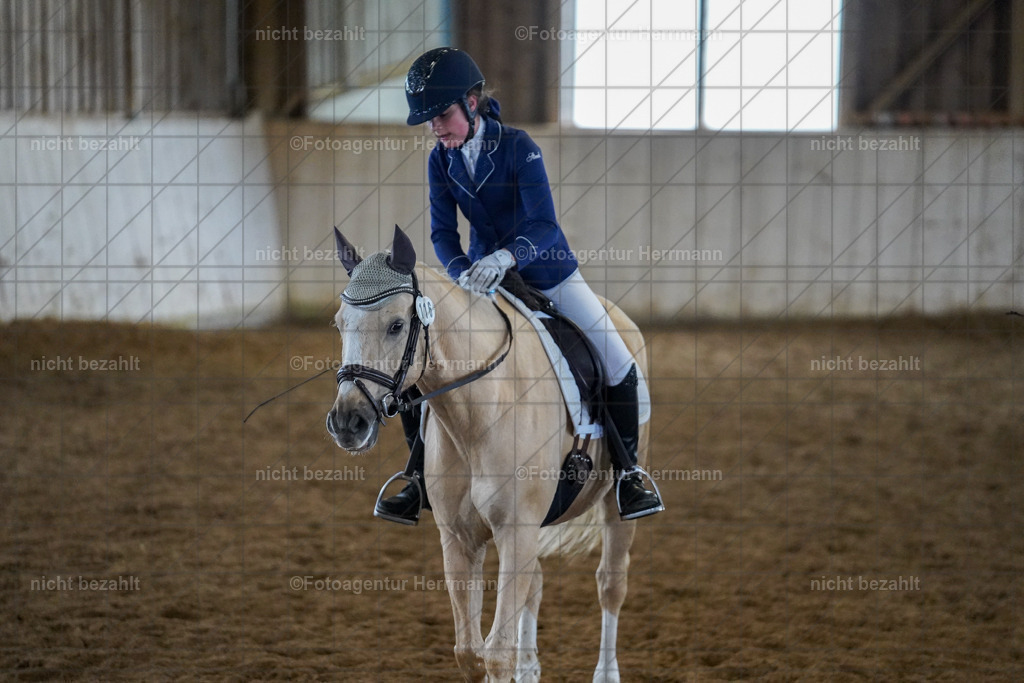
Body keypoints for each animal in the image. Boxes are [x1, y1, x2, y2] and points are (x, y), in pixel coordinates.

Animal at [326, 225, 651, 682]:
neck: (477, 414)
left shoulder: (516, 531)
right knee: (536, 584)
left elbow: (497, 653)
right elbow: (469, 652)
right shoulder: (459, 538)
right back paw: (530, 669)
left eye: (396, 325)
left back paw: (606, 673)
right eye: (339, 325)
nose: (347, 422)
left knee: (610, 583)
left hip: (611, 506)